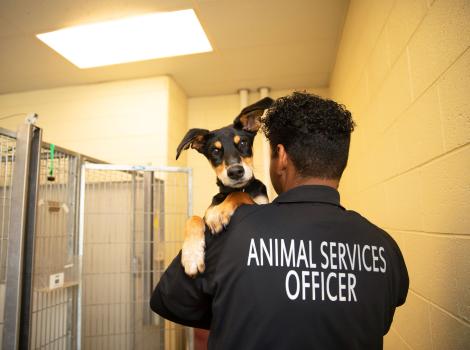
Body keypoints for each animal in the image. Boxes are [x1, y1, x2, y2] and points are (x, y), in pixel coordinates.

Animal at [175, 97, 272, 278]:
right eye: (215, 150)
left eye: (243, 142)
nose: (236, 172)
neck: (239, 187)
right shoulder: (204, 212)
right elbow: (194, 218)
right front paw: (192, 256)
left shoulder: (262, 205)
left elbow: (239, 195)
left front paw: (219, 214)